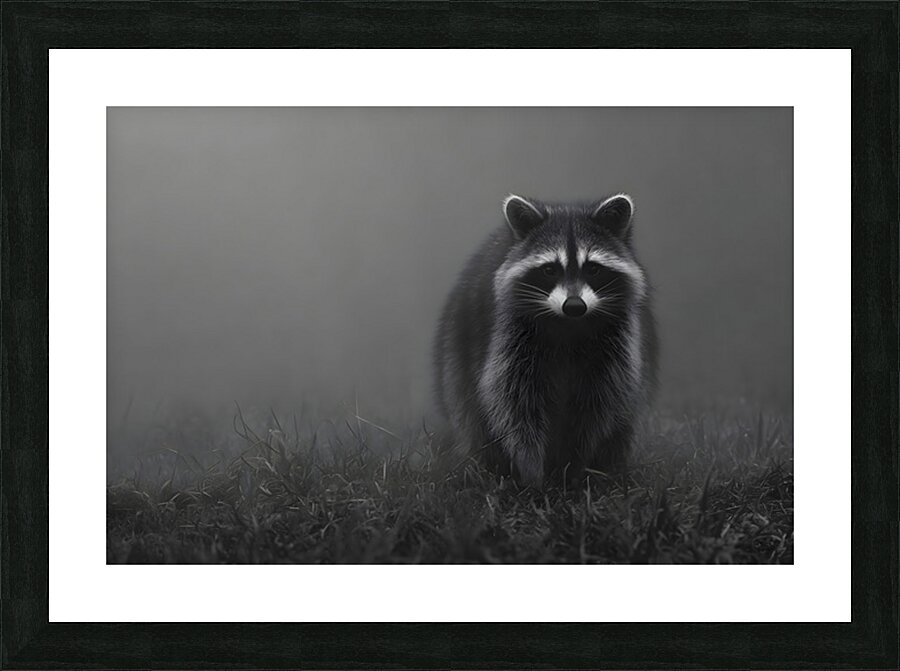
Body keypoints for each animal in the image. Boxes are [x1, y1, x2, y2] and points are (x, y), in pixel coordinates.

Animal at [433, 193, 657, 487]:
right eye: (550, 269)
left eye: (593, 269)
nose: (574, 305)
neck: (568, 325)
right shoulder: (511, 337)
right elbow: (514, 403)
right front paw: (532, 470)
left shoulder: (615, 344)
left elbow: (597, 404)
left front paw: (573, 466)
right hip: (458, 349)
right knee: (470, 411)